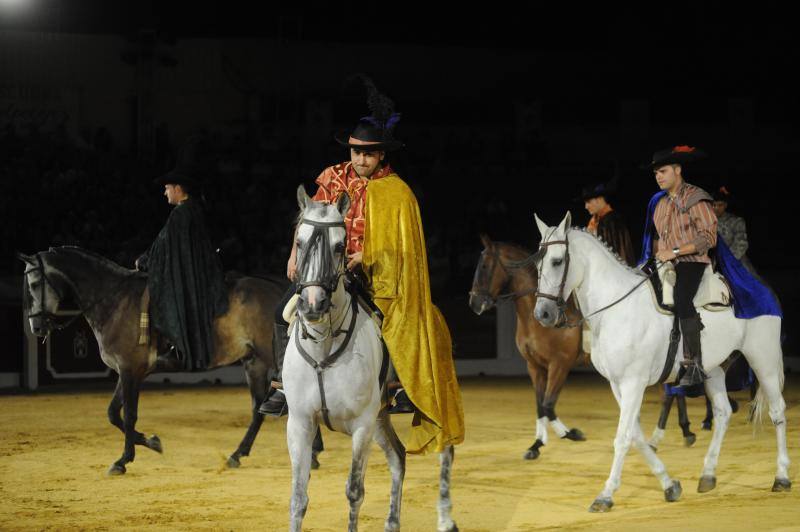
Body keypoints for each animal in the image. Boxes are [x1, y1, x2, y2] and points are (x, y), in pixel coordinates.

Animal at [17, 247, 322, 476]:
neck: (114, 301)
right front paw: (151, 442)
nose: (36, 327)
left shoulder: (130, 370)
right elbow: (113, 413)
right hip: (254, 363)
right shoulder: (126, 371)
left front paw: (124, 459)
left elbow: (129, 414)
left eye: (35, 284)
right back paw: (242, 453)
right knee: (260, 408)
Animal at [282, 184, 456, 532]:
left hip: (431, 404)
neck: (324, 348)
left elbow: (354, 491)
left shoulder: (361, 425)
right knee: (399, 457)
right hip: (381, 416)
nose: (313, 304)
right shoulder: (300, 423)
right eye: (299, 241)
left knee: (445, 451)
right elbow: (298, 498)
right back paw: (392, 523)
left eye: (340, 246)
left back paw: (445, 518)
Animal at [468, 235, 588, 460]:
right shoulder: (535, 366)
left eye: (485, 266)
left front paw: (570, 433)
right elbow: (540, 406)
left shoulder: (560, 365)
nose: (474, 303)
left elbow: (548, 404)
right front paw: (536, 445)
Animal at [532, 211, 788, 512]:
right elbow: (636, 435)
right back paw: (708, 475)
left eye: (557, 261)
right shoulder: (618, 384)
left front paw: (605, 495)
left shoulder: (633, 383)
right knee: (723, 412)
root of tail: (764, 289)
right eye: (537, 263)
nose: (542, 313)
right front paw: (669, 485)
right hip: (713, 370)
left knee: (777, 411)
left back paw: (781, 477)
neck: (617, 308)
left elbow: (623, 437)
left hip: (763, 359)